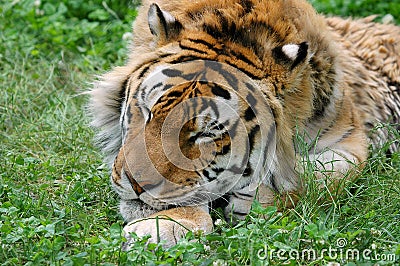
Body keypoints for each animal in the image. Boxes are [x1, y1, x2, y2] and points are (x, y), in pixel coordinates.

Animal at [89, 0, 398, 248]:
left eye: (205, 133)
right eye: (147, 110)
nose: (136, 184)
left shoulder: (350, 139)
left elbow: (321, 176)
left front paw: (256, 199)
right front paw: (163, 226)